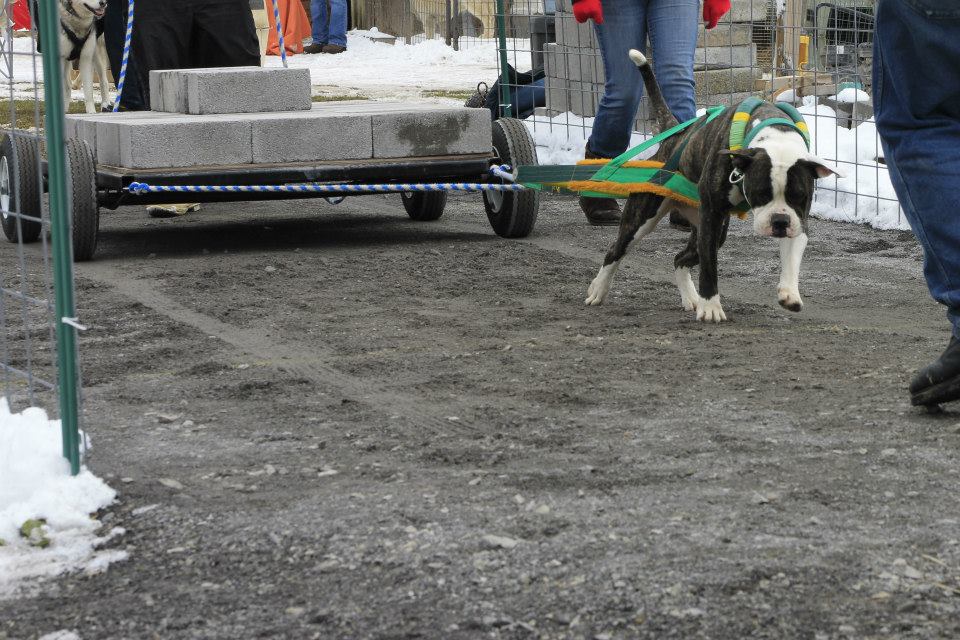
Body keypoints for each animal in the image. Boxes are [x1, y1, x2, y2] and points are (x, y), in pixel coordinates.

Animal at [588, 50, 844, 322]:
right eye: (761, 194)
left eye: (799, 196)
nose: (779, 222)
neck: (775, 134)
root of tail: (674, 134)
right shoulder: (711, 215)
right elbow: (709, 266)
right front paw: (710, 306)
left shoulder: (798, 219)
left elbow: (792, 257)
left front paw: (789, 293)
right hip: (645, 218)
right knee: (616, 250)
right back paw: (598, 289)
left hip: (705, 225)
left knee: (679, 258)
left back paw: (691, 298)